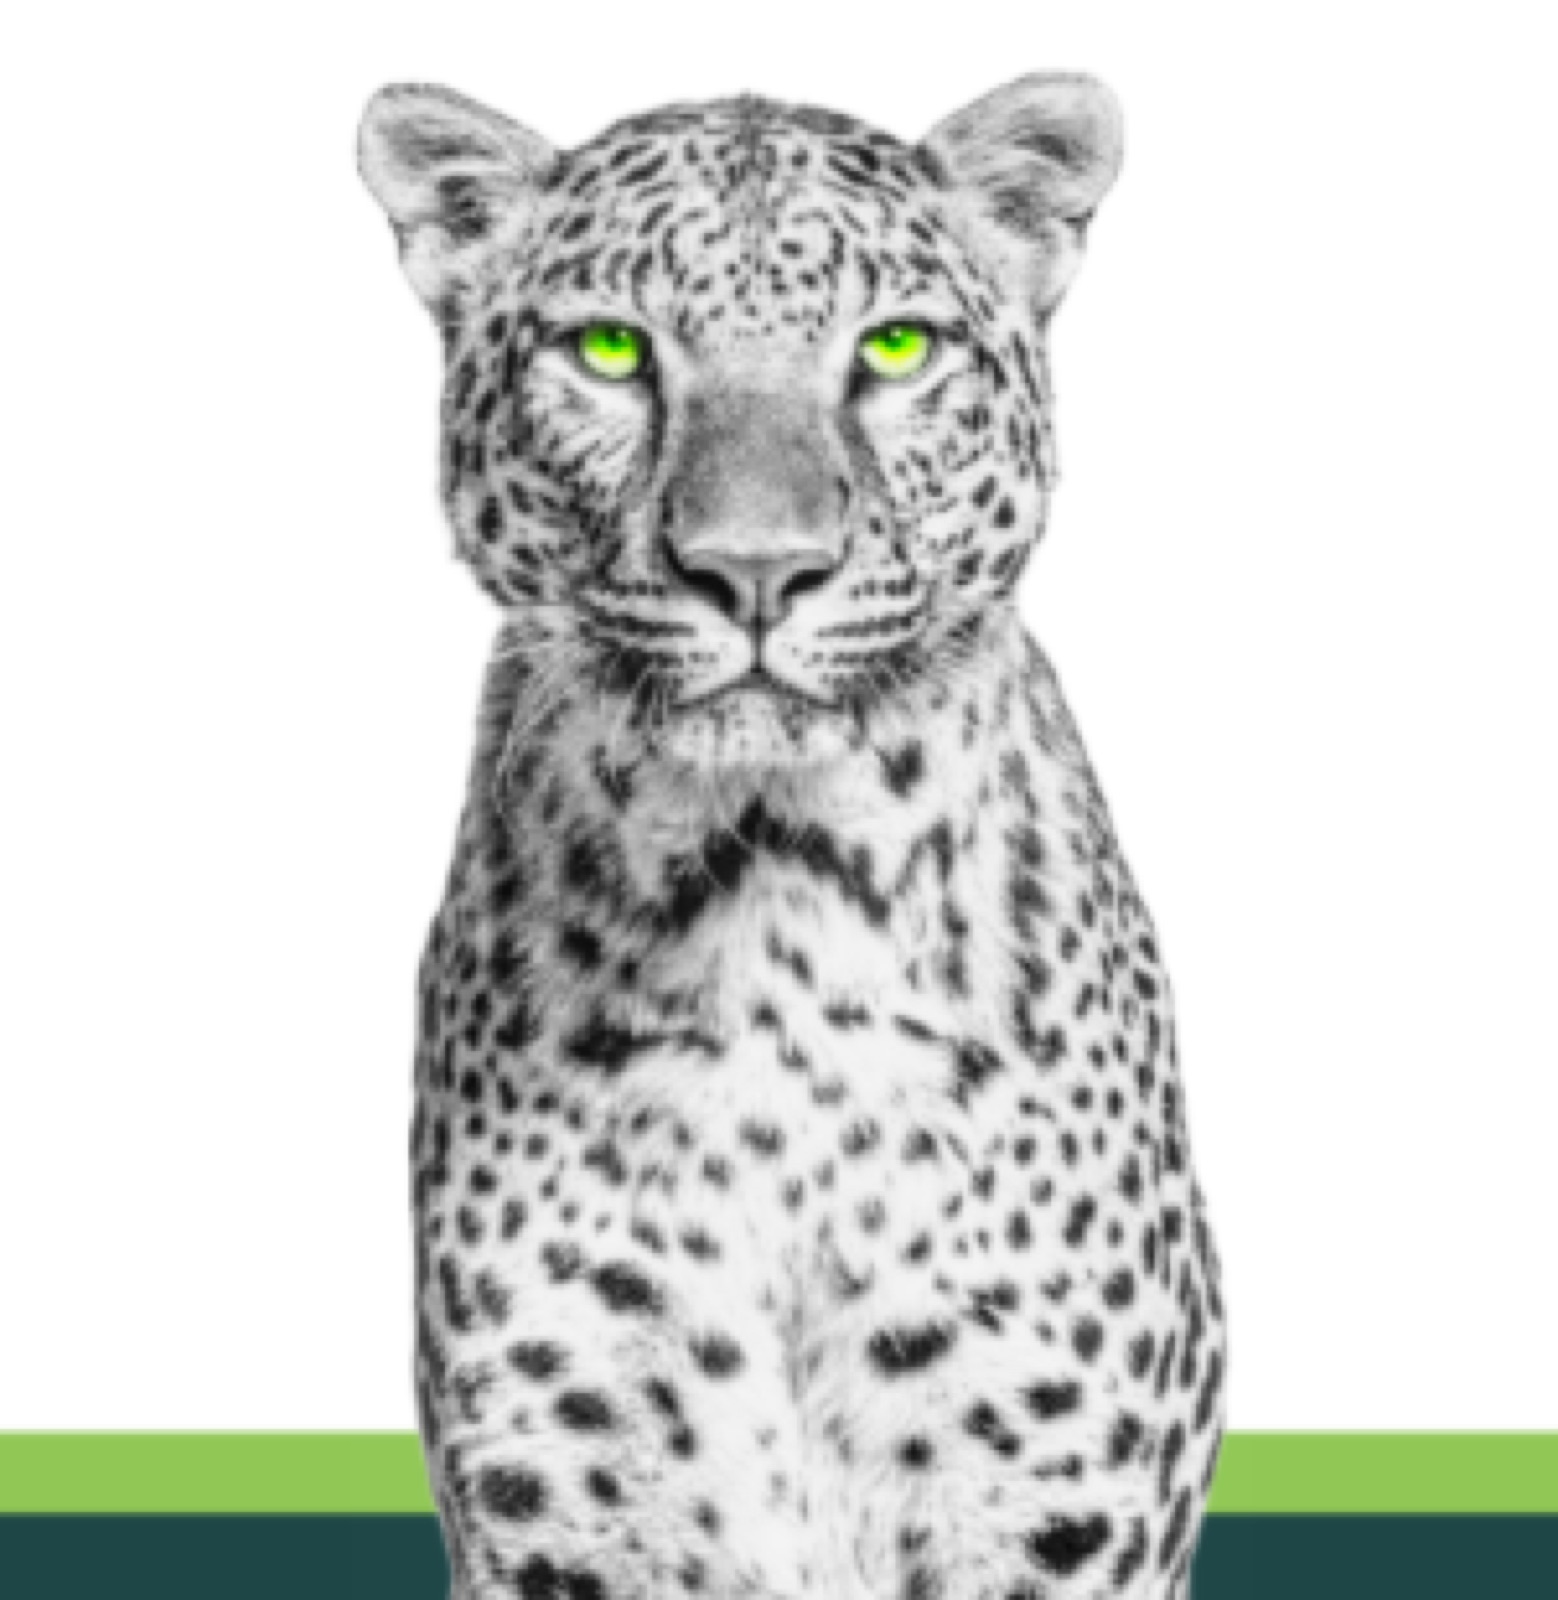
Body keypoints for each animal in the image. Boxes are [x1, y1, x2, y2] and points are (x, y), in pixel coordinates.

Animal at [358, 70, 1226, 1600]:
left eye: (893, 347)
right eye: (609, 349)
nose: (754, 571)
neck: (773, 904)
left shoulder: (1056, 1518)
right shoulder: (556, 1511)